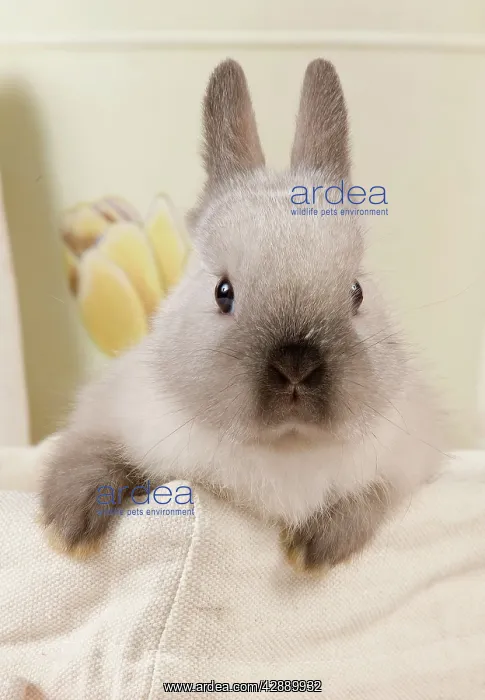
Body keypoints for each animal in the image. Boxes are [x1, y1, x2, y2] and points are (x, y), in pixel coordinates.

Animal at [41, 58, 444, 572]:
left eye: (356, 292)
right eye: (223, 293)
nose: (296, 366)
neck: (283, 448)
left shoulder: (403, 464)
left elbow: (369, 499)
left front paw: (310, 551)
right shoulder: (112, 414)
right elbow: (91, 455)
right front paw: (67, 530)